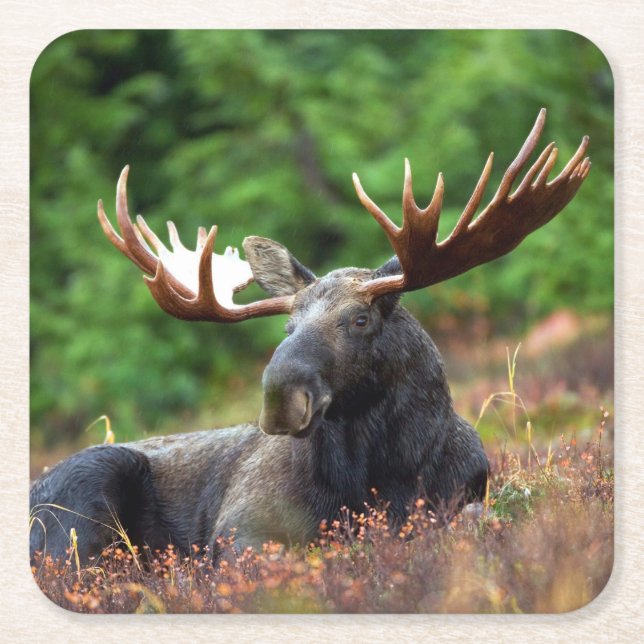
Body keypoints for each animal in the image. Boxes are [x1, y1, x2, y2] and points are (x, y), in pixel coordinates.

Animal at [30, 109, 590, 564]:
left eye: (360, 320)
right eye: (288, 326)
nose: (280, 398)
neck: (383, 476)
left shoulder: (465, 498)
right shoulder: (241, 528)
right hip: (83, 498)